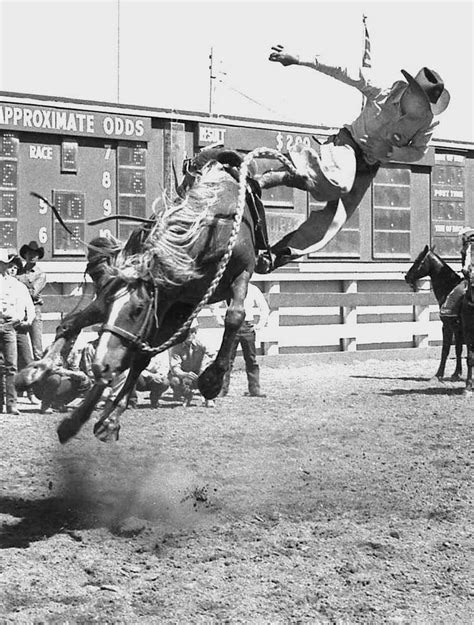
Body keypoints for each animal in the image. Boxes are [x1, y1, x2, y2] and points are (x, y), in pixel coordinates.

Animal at [406, 244, 464, 380]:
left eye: (418, 260)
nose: (406, 276)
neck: (449, 289)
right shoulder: (457, 328)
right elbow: (458, 349)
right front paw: (456, 373)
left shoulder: (448, 326)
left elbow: (446, 349)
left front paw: (439, 374)